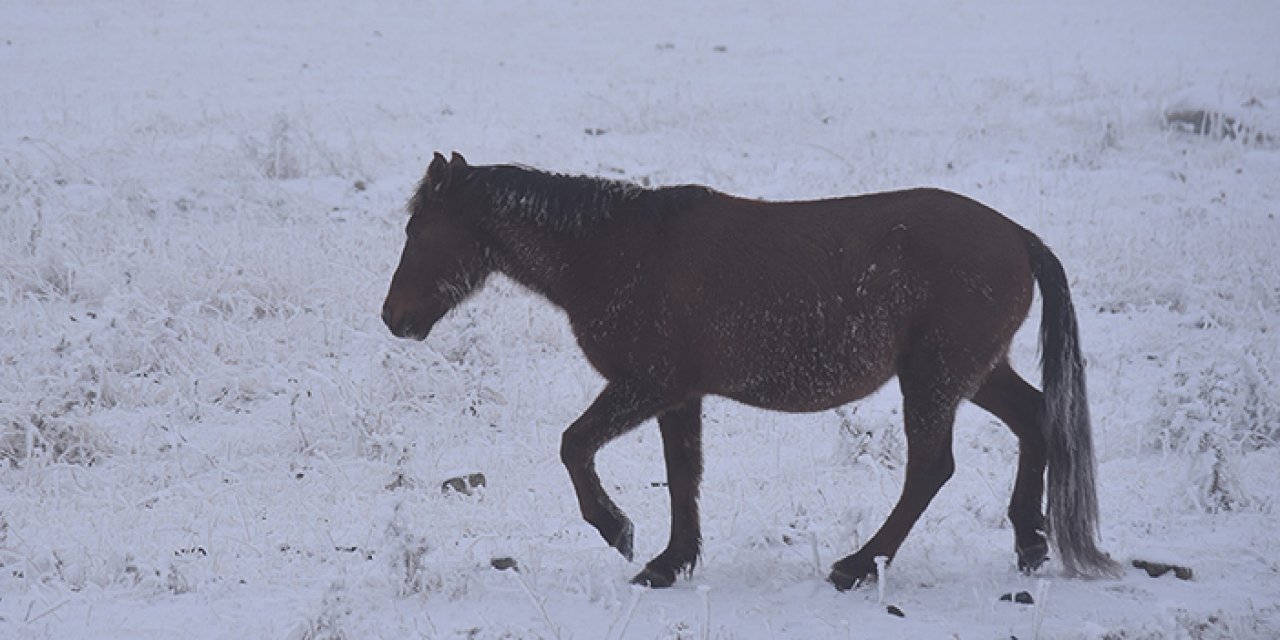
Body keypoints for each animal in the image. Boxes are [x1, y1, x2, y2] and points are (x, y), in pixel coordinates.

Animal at [378, 151, 1121, 588]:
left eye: (418, 229)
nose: (394, 317)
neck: (611, 250)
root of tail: (1018, 237)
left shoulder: (647, 385)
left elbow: (575, 446)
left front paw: (620, 532)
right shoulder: (678, 395)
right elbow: (683, 475)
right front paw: (671, 562)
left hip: (935, 377)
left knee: (931, 468)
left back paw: (858, 565)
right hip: (974, 371)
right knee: (1035, 422)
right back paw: (1030, 543)